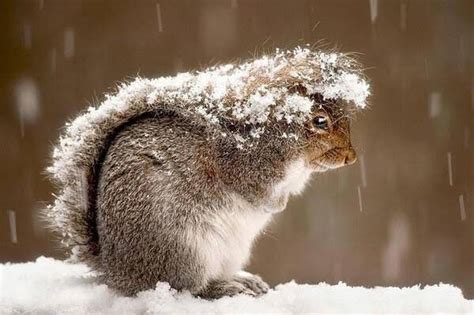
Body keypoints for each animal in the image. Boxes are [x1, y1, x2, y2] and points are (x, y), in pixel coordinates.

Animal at [43, 47, 370, 298]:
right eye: (319, 121)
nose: (351, 157)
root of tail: (116, 271)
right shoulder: (243, 167)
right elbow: (256, 193)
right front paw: (276, 205)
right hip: (183, 249)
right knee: (189, 287)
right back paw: (223, 288)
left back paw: (242, 280)